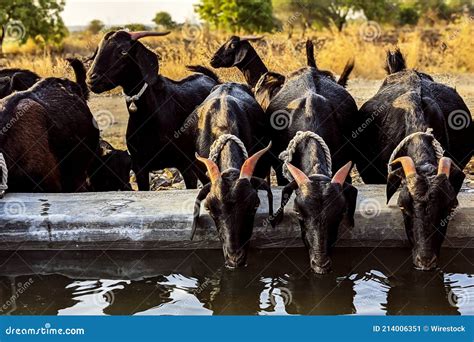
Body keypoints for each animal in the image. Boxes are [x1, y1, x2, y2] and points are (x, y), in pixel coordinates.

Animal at [88, 30, 218, 190]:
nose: (91, 79)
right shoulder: (140, 167)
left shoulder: (184, 164)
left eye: (123, 51)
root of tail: (212, 79)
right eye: (98, 50)